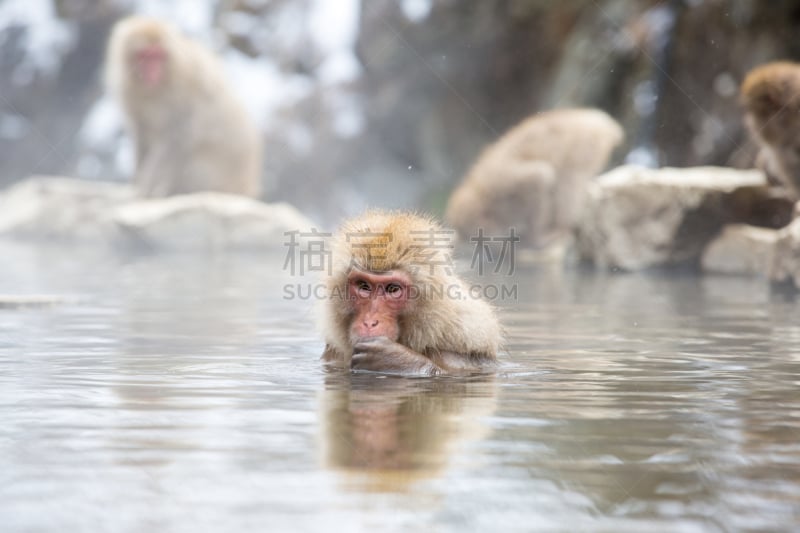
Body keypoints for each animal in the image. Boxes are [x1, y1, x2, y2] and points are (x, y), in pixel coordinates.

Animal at [104, 18, 262, 200]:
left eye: (158, 55)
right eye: (145, 55)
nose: (152, 71)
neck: (155, 89)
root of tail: (247, 189)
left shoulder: (183, 98)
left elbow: (176, 140)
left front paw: (145, 190)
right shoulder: (129, 94)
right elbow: (141, 137)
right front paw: (138, 186)